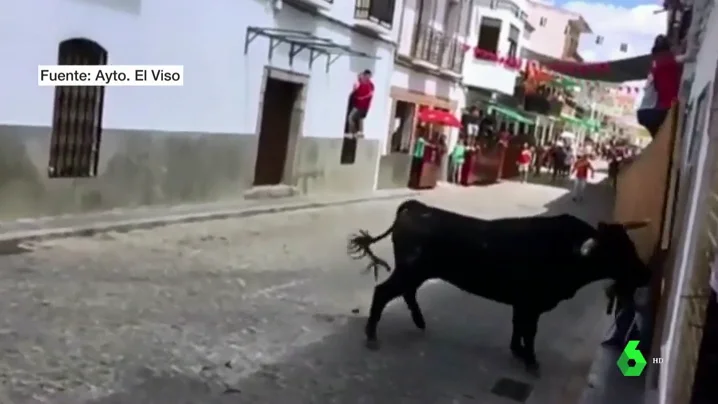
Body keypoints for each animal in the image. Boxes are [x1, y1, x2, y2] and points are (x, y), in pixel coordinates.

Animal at [348, 199, 652, 372]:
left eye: (630, 245)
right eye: (617, 251)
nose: (646, 274)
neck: (568, 249)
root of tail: (416, 208)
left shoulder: (523, 303)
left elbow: (518, 327)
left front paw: (517, 351)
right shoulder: (532, 303)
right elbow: (529, 332)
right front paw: (531, 361)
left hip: (415, 272)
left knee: (406, 292)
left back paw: (419, 322)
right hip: (410, 270)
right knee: (384, 292)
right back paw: (372, 335)